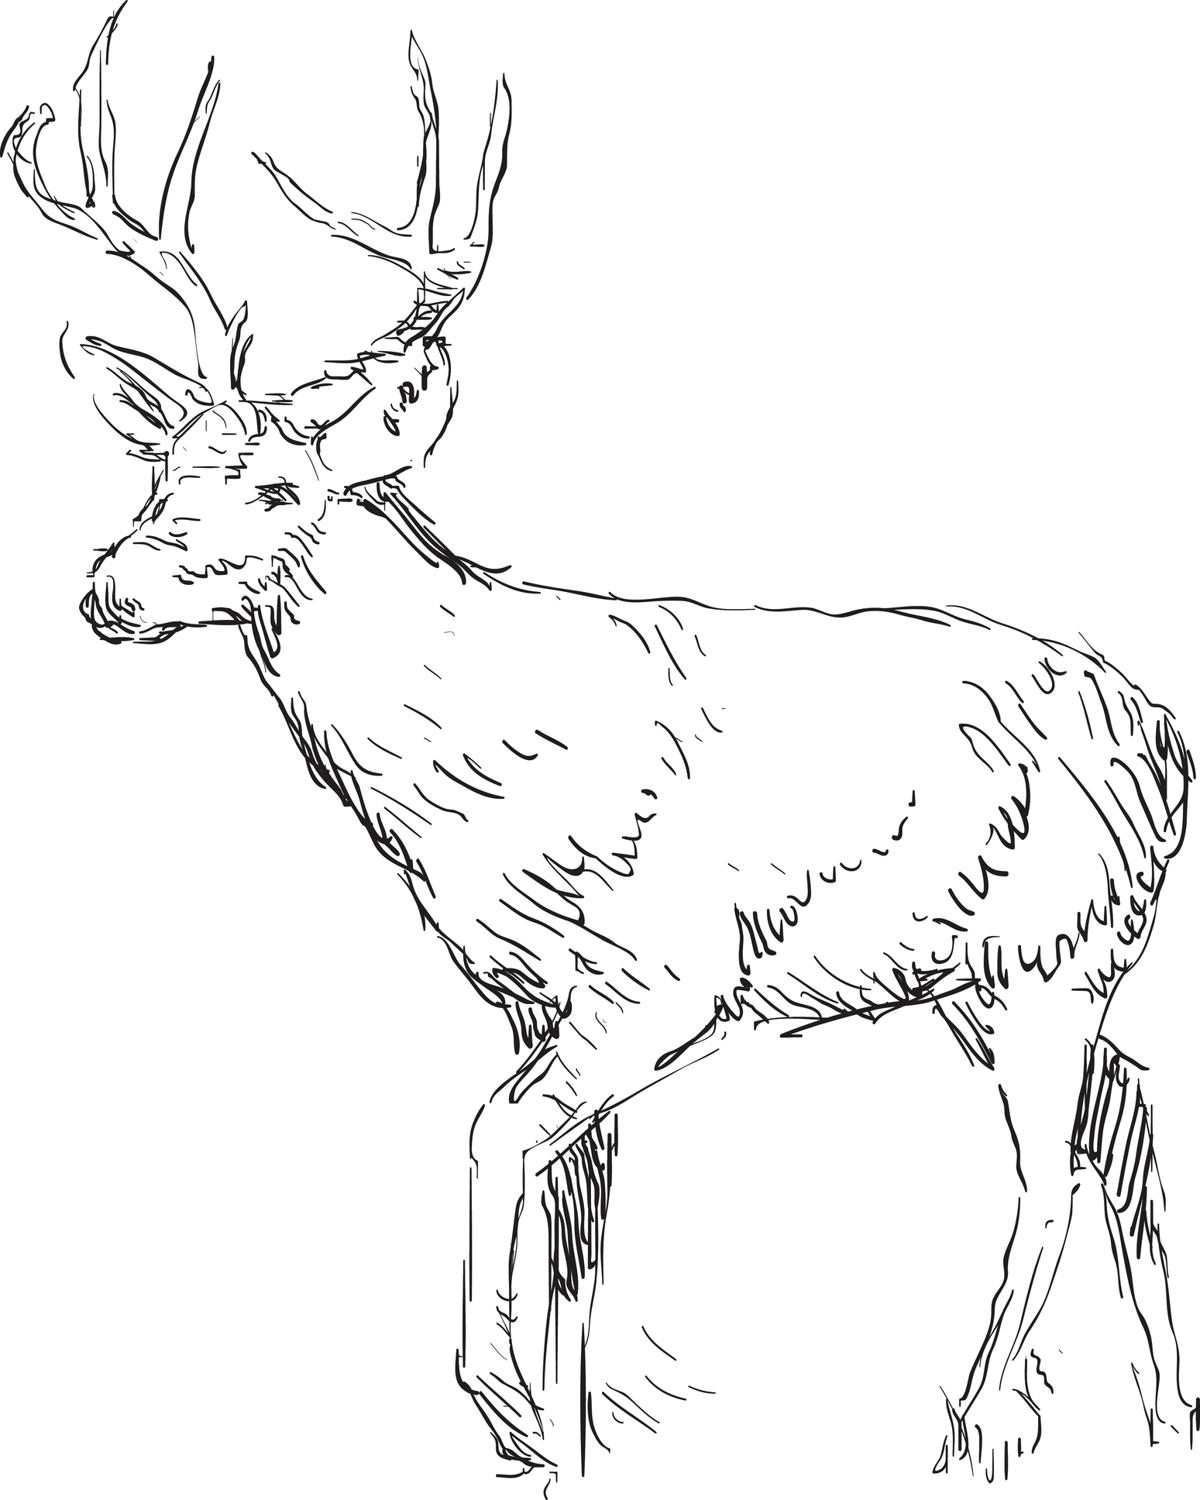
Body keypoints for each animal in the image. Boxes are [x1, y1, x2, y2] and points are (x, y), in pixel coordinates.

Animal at [4, 9, 1196, 1485]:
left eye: (279, 485)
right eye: (160, 469)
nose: (108, 590)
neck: (477, 772)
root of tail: (1168, 735)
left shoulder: (665, 974)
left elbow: (491, 1133)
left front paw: (505, 1413)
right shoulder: (533, 991)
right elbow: (581, 1233)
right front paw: (569, 1441)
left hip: (1050, 952)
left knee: (1048, 1174)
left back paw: (965, 1430)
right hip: (997, 973)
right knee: (1128, 1116)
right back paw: (1162, 1416)